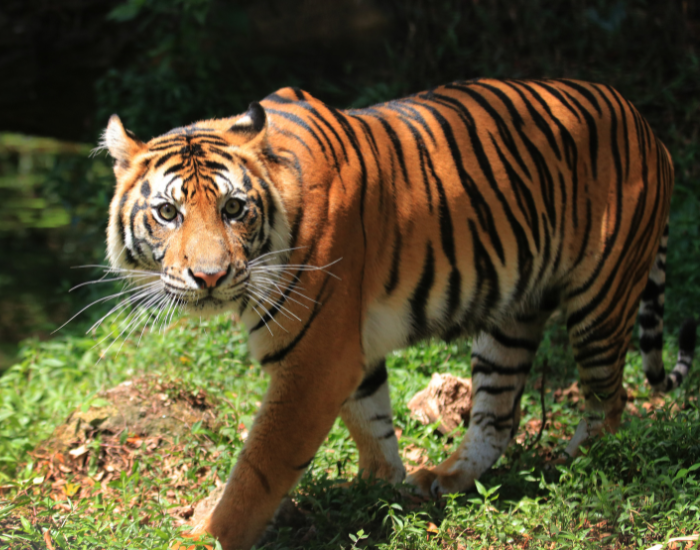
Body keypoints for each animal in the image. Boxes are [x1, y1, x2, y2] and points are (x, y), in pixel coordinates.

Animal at [100, 78, 696, 550]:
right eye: (168, 212)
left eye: (233, 208)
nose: (210, 276)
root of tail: (649, 129)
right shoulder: (346, 351)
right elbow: (370, 419)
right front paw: (381, 486)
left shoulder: (315, 360)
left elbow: (259, 468)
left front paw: (204, 540)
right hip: (511, 318)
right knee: (498, 417)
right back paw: (445, 478)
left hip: (600, 302)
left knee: (610, 402)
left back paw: (580, 469)